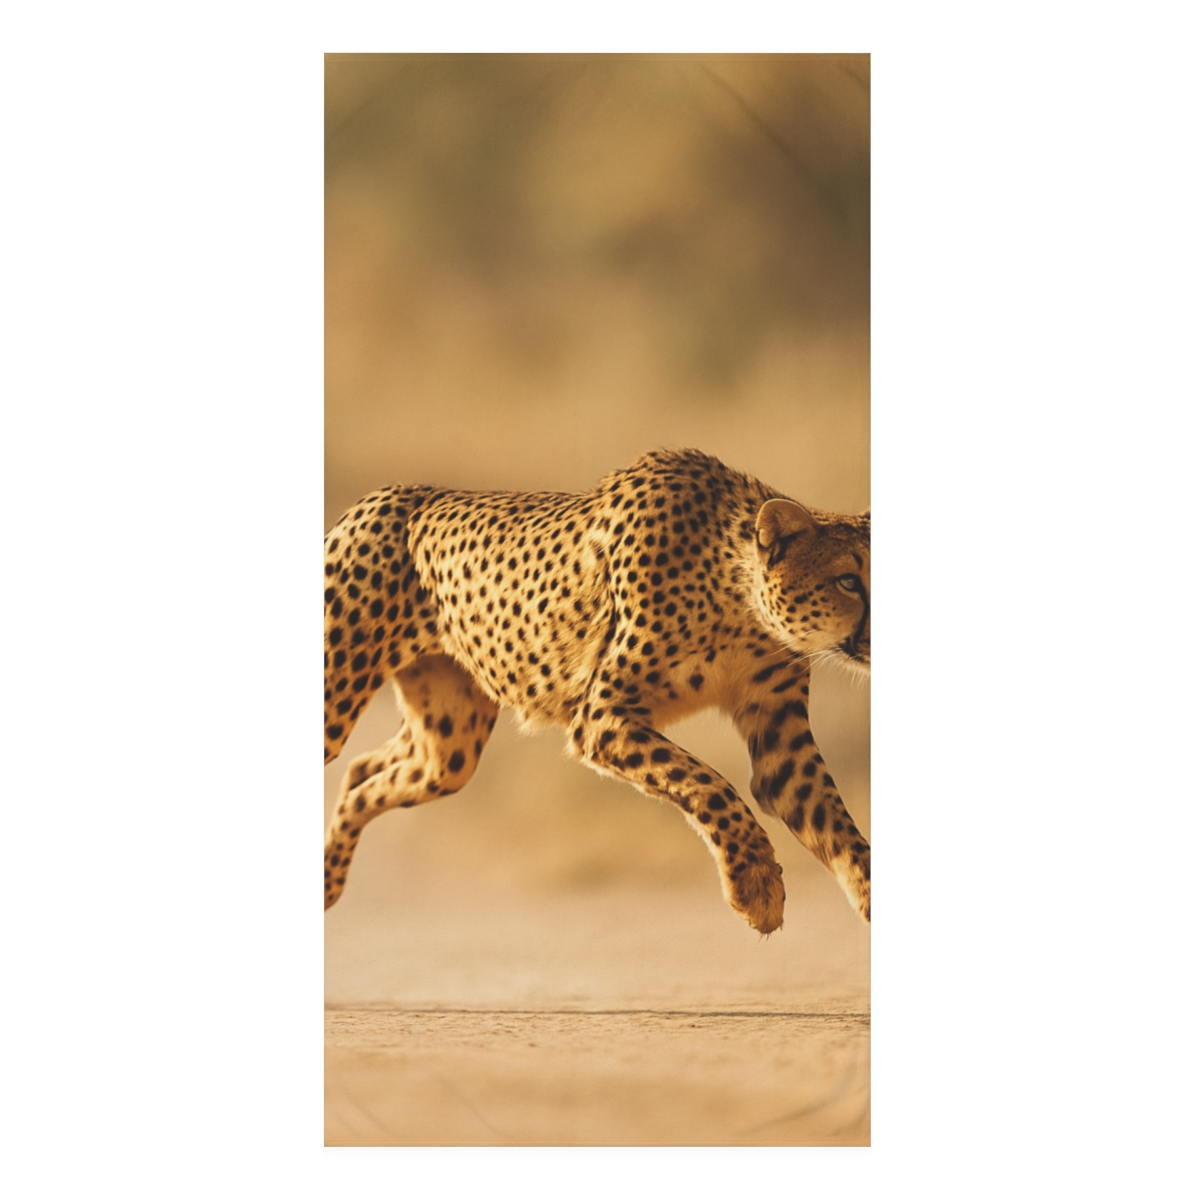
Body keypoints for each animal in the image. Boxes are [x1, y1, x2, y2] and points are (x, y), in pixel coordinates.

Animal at [323, 448, 870, 934]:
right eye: (848, 580)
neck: (739, 598)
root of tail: (385, 494)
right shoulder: (603, 719)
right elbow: (710, 785)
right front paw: (756, 886)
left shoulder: (781, 744)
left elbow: (838, 827)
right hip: (338, 694)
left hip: (449, 748)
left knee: (363, 772)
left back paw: (329, 877)